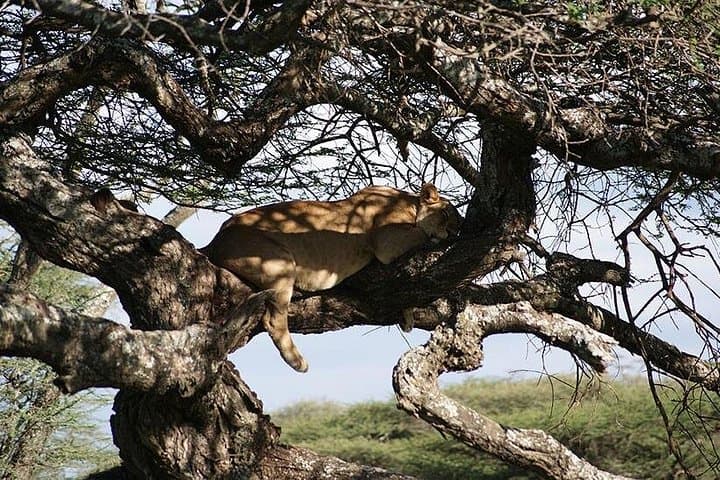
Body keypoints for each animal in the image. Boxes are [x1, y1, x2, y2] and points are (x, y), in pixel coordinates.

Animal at [200, 183, 461, 372]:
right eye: (446, 213)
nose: (454, 233)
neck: (410, 204)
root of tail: (216, 239)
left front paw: (407, 316)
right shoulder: (386, 242)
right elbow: (420, 234)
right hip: (279, 262)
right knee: (274, 320)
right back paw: (297, 361)